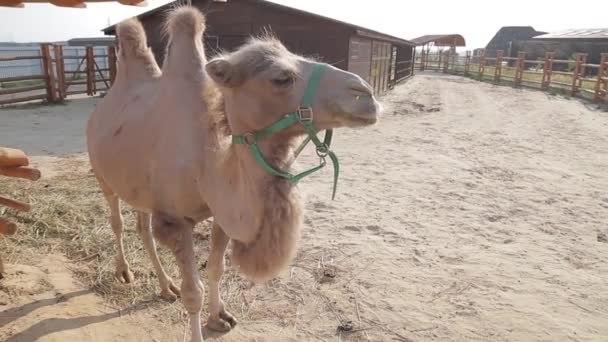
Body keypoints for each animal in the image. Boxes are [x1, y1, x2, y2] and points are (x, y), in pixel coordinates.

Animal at [86, 5, 380, 342]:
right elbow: (193, 293)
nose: (366, 94)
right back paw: (125, 272)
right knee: (117, 221)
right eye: (281, 78)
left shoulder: (221, 216)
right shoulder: (175, 221)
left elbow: (217, 269)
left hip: (141, 189)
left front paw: (220, 317)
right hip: (103, 176)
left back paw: (165, 286)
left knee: (143, 229)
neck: (207, 165)